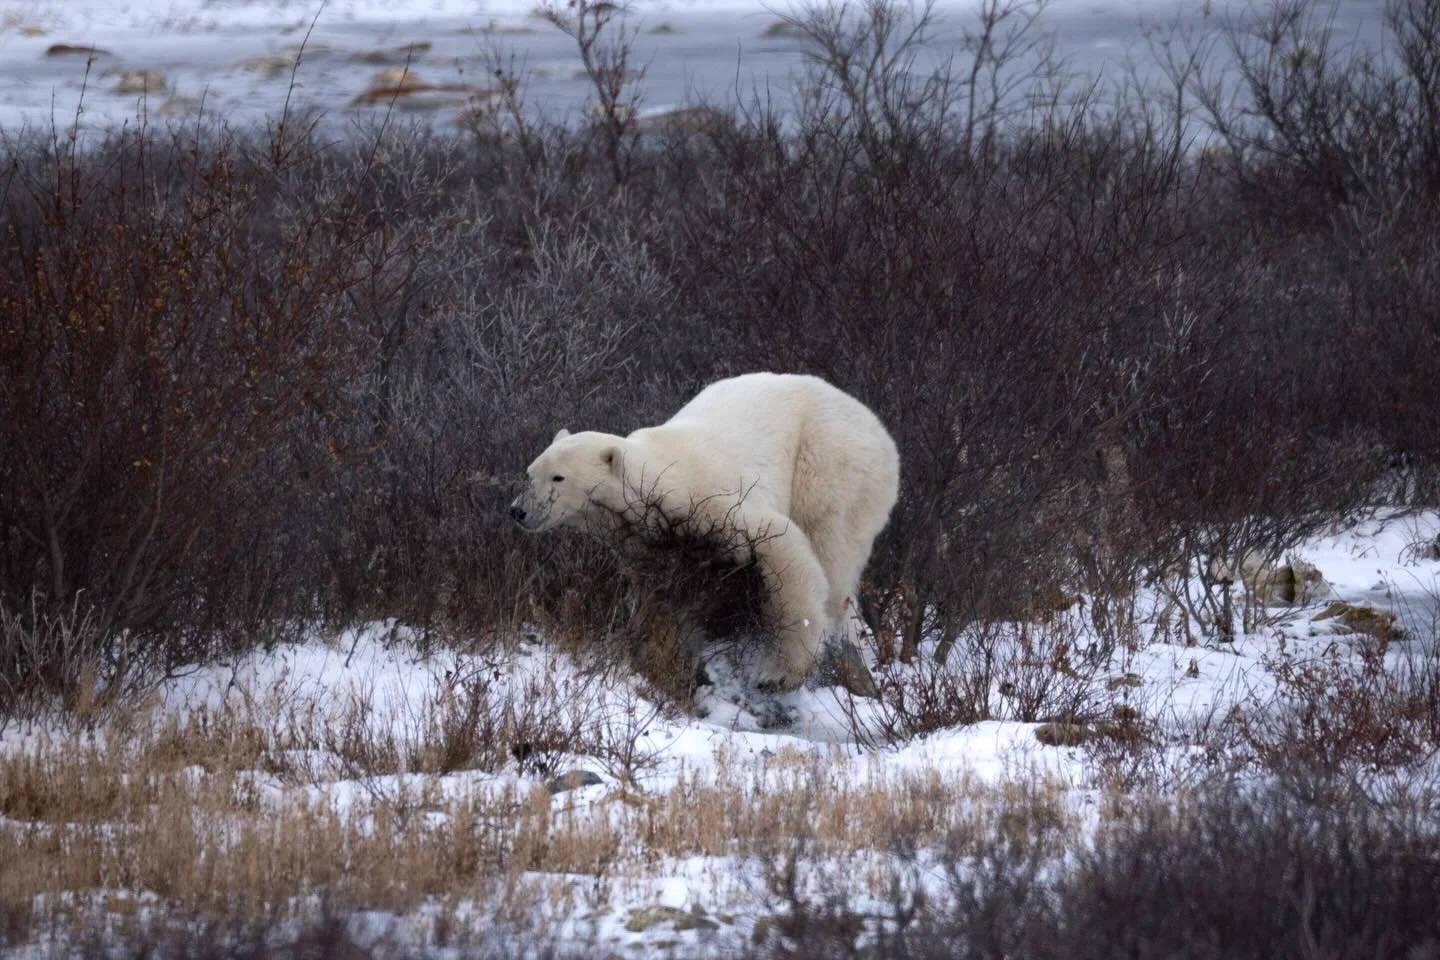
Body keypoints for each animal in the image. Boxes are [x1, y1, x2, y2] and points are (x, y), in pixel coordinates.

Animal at [508, 372, 901, 692]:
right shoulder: (649, 540)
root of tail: (881, 432)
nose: (518, 510)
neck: (655, 483)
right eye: (530, 472)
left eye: (558, 477)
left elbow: (785, 552)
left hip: (831, 460)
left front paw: (779, 673)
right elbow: (657, 592)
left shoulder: (715, 502)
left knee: (831, 550)